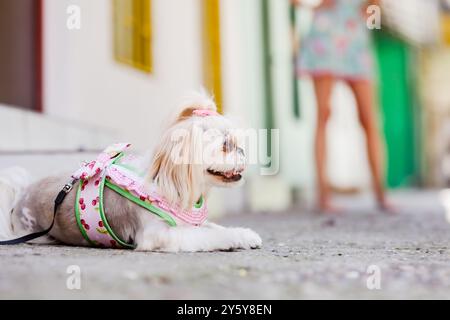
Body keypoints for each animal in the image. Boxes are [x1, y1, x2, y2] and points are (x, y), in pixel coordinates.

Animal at [0, 91, 262, 251]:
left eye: (237, 143)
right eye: (226, 145)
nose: (243, 151)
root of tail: (21, 196)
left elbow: (214, 227)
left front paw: (247, 234)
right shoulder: (159, 234)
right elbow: (213, 235)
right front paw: (235, 237)